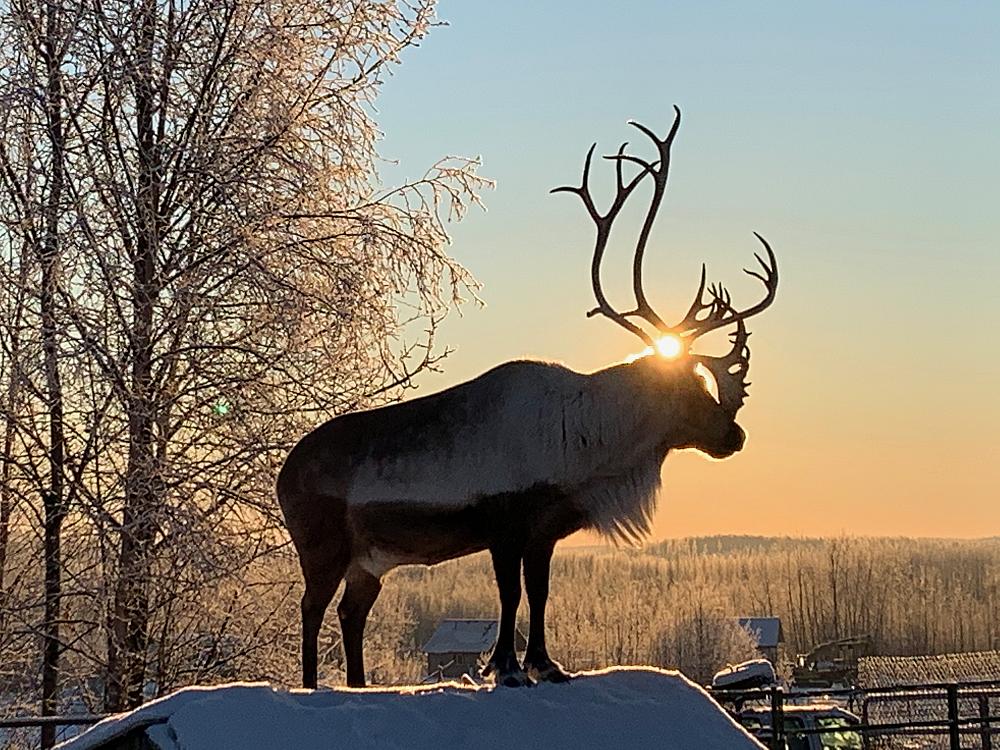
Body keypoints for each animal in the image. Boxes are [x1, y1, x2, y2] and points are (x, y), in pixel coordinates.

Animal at [277, 106, 778, 689]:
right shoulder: (504, 524)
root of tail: (284, 473)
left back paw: (358, 684)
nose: (734, 434)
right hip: (322, 546)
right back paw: (312, 685)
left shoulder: (544, 531)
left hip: (370, 560)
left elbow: (538, 594)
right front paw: (506, 667)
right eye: (689, 386)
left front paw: (546, 664)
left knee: (351, 612)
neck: (586, 446)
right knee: (312, 608)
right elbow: (510, 595)